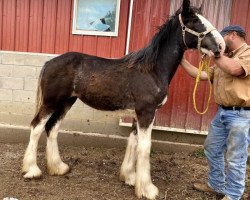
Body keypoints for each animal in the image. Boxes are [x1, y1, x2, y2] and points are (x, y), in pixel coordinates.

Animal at [22, 0, 225, 199]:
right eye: (194, 21)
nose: (221, 46)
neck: (151, 70)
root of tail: (49, 62)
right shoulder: (146, 112)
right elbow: (145, 147)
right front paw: (147, 189)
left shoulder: (138, 114)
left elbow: (133, 141)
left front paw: (130, 177)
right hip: (51, 102)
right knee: (37, 126)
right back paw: (32, 170)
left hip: (66, 102)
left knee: (52, 127)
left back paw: (58, 167)